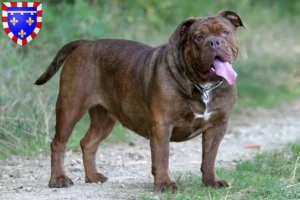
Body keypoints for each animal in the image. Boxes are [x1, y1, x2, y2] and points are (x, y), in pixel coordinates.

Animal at [36, 10, 245, 191]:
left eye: (225, 32)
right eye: (198, 37)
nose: (214, 42)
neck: (203, 86)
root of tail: (85, 43)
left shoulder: (217, 125)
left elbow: (209, 157)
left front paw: (211, 181)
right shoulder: (162, 125)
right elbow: (162, 156)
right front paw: (164, 184)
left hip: (104, 118)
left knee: (88, 143)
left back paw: (92, 176)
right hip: (70, 107)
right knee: (58, 144)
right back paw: (58, 179)